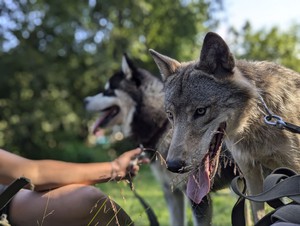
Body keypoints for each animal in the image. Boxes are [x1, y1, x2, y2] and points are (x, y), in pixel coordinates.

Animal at [149, 31, 300, 222]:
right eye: (170, 115)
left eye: (200, 111)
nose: (173, 165)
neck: (256, 121)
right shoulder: (251, 175)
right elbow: (258, 216)